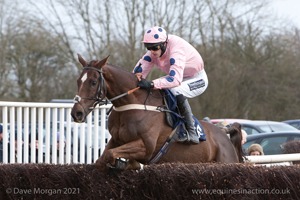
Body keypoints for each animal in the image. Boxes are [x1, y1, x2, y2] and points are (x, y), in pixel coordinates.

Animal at [71, 55, 245, 172]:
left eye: (93, 82)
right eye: (78, 81)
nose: (76, 113)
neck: (132, 105)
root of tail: (224, 133)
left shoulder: (146, 146)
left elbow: (111, 155)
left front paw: (128, 163)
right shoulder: (116, 140)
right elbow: (102, 158)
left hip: (225, 161)